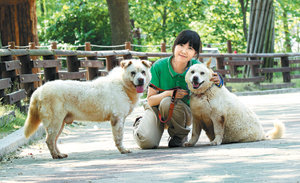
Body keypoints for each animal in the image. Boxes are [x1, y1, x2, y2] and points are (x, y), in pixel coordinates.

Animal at [24, 59, 152, 159]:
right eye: (133, 73)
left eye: (143, 72)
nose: (141, 80)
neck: (123, 85)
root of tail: (39, 90)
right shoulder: (117, 119)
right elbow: (119, 137)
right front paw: (123, 150)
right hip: (55, 122)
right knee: (49, 140)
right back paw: (55, 156)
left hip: (60, 123)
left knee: (54, 140)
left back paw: (59, 154)